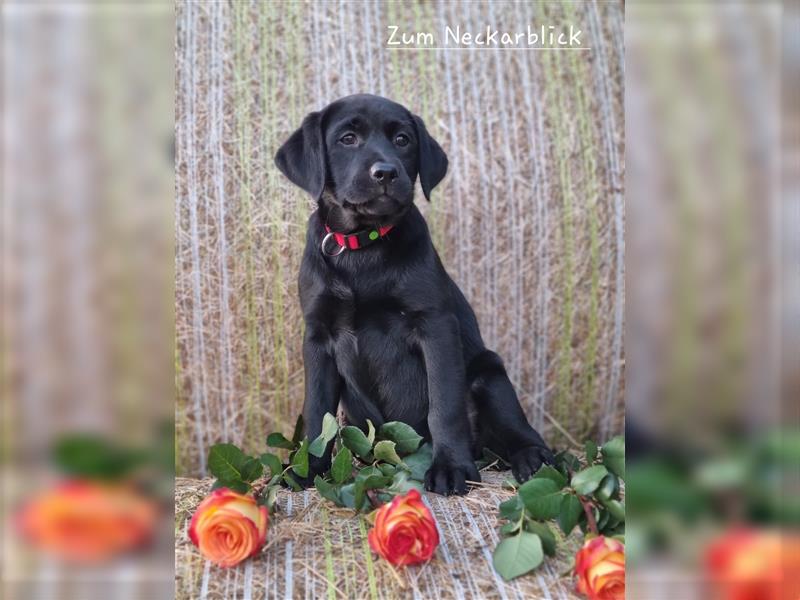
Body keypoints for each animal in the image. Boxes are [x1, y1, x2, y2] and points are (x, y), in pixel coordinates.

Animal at [276, 94, 552, 494]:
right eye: (347, 139)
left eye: (403, 139)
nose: (386, 173)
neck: (364, 247)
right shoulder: (317, 337)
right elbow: (316, 413)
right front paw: (307, 469)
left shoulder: (434, 325)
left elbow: (445, 405)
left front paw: (451, 466)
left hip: (490, 374)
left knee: (519, 431)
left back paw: (532, 458)